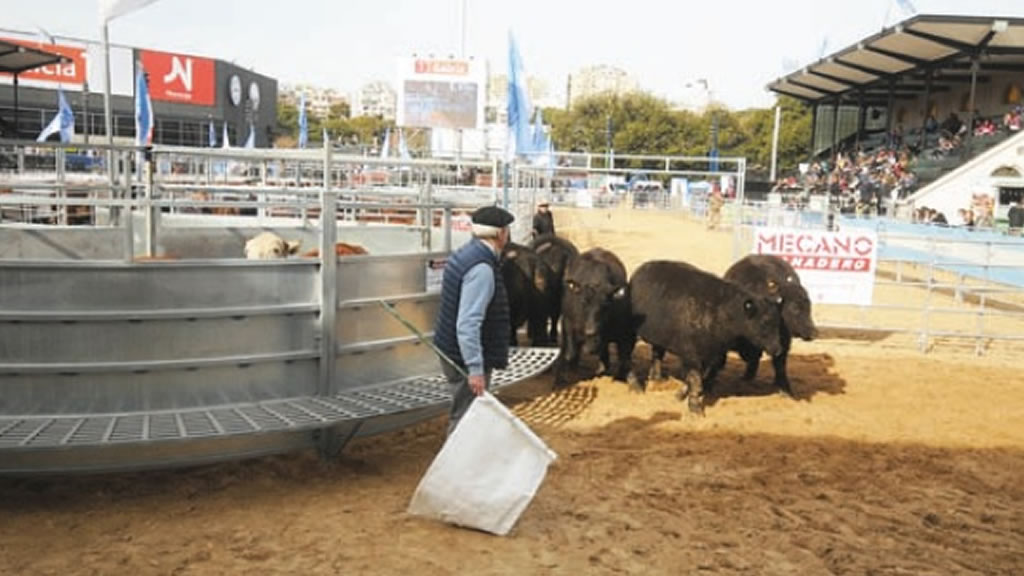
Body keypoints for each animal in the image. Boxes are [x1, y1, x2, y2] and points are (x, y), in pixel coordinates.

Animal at [622, 259, 782, 412]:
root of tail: (640, 270)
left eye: (777, 321)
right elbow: (695, 380)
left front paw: (680, 395)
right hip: (631, 333)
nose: (778, 349)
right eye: (764, 322)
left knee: (657, 354)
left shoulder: (714, 357)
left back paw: (656, 378)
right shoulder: (691, 356)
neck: (719, 310)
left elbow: (701, 378)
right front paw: (695, 408)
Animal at [708, 254, 819, 393]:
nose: (814, 332)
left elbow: (778, 364)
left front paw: (785, 388)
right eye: (795, 308)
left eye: (809, 306)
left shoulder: (782, 343)